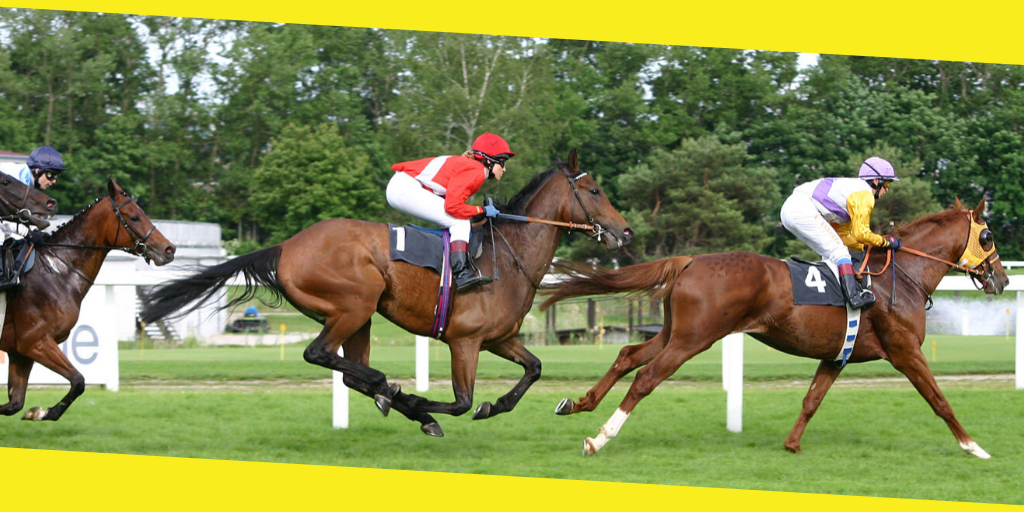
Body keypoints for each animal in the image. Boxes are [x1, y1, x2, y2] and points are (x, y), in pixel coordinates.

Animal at [0, 179, 177, 421]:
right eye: (134, 217)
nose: (169, 249)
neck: (56, 271)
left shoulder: (20, 352)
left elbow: (14, 404)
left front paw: (35, 412)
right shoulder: (35, 341)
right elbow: (78, 381)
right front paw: (46, 412)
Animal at [141, 149, 633, 436]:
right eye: (594, 190)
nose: (625, 232)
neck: (507, 256)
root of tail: (286, 246)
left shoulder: (498, 338)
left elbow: (533, 369)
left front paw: (494, 406)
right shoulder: (465, 340)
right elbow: (461, 401)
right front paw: (424, 402)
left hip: (357, 315)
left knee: (347, 369)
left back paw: (392, 396)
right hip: (355, 304)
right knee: (323, 356)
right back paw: (396, 394)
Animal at [541, 198, 1008, 457]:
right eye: (987, 236)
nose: (1002, 279)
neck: (902, 276)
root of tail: (690, 260)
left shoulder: (836, 357)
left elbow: (811, 400)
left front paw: (792, 445)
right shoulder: (905, 351)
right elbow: (939, 400)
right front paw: (974, 447)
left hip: (676, 331)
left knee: (627, 356)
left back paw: (578, 404)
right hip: (694, 338)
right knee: (647, 377)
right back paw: (600, 439)